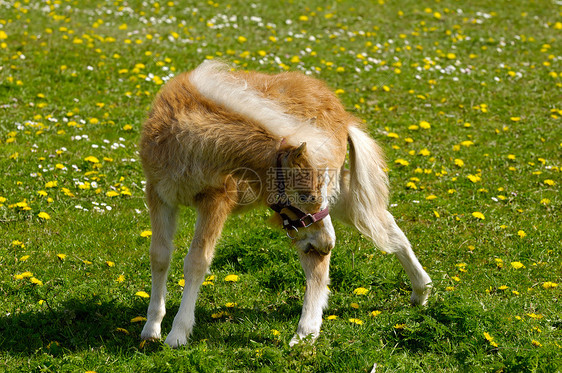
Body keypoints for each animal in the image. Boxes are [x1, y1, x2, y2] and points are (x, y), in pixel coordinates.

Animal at [139, 59, 428, 348]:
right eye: (305, 196)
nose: (327, 244)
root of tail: (342, 113)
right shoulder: (158, 194)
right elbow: (159, 256)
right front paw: (151, 328)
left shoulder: (216, 200)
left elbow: (197, 261)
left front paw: (178, 333)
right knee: (383, 222)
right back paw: (421, 291)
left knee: (322, 262)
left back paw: (304, 333)